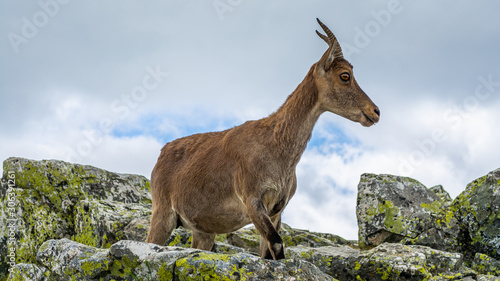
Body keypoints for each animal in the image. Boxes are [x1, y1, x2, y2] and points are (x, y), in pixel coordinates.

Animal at [146, 18, 380, 260]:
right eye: (345, 75)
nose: (375, 112)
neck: (276, 145)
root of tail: (162, 154)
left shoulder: (276, 210)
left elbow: (269, 252)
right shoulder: (252, 200)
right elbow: (277, 244)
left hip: (203, 230)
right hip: (163, 214)